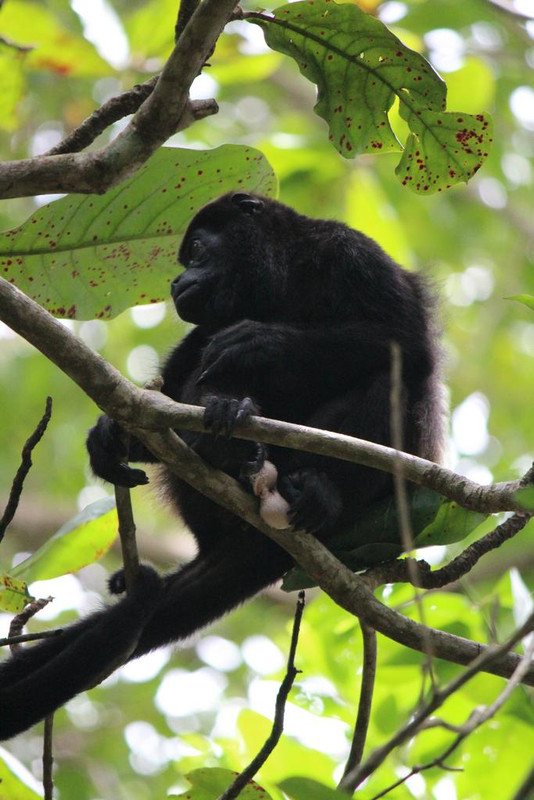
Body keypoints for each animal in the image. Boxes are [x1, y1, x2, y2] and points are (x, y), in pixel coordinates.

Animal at [0, 192, 444, 736]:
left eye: (195, 250)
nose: (176, 281)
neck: (282, 279)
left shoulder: (352, 252)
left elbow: (406, 340)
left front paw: (260, 341)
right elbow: (171, 391)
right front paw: (111, 438)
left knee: (390, 378)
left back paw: (320, 491)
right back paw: (223, 446)